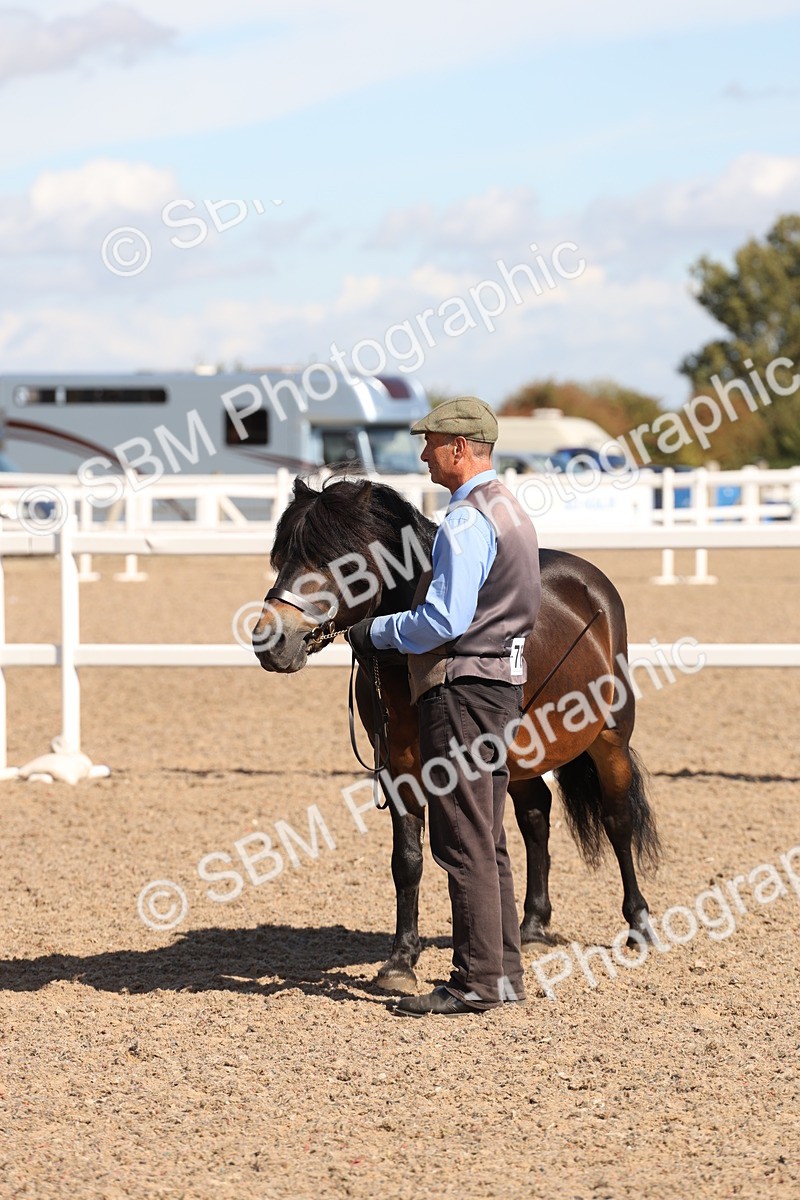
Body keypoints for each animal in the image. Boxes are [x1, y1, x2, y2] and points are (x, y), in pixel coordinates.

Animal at [252, 475, 660, 995]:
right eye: (281, 555)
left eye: (338, 560)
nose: (271, 640)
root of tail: (590, 584)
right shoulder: (398, 770)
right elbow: (408, 861)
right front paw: (400, 962)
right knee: (535, 817)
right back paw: (532, 926)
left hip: (610, 742)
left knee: (616, 820)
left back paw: (639, 924)